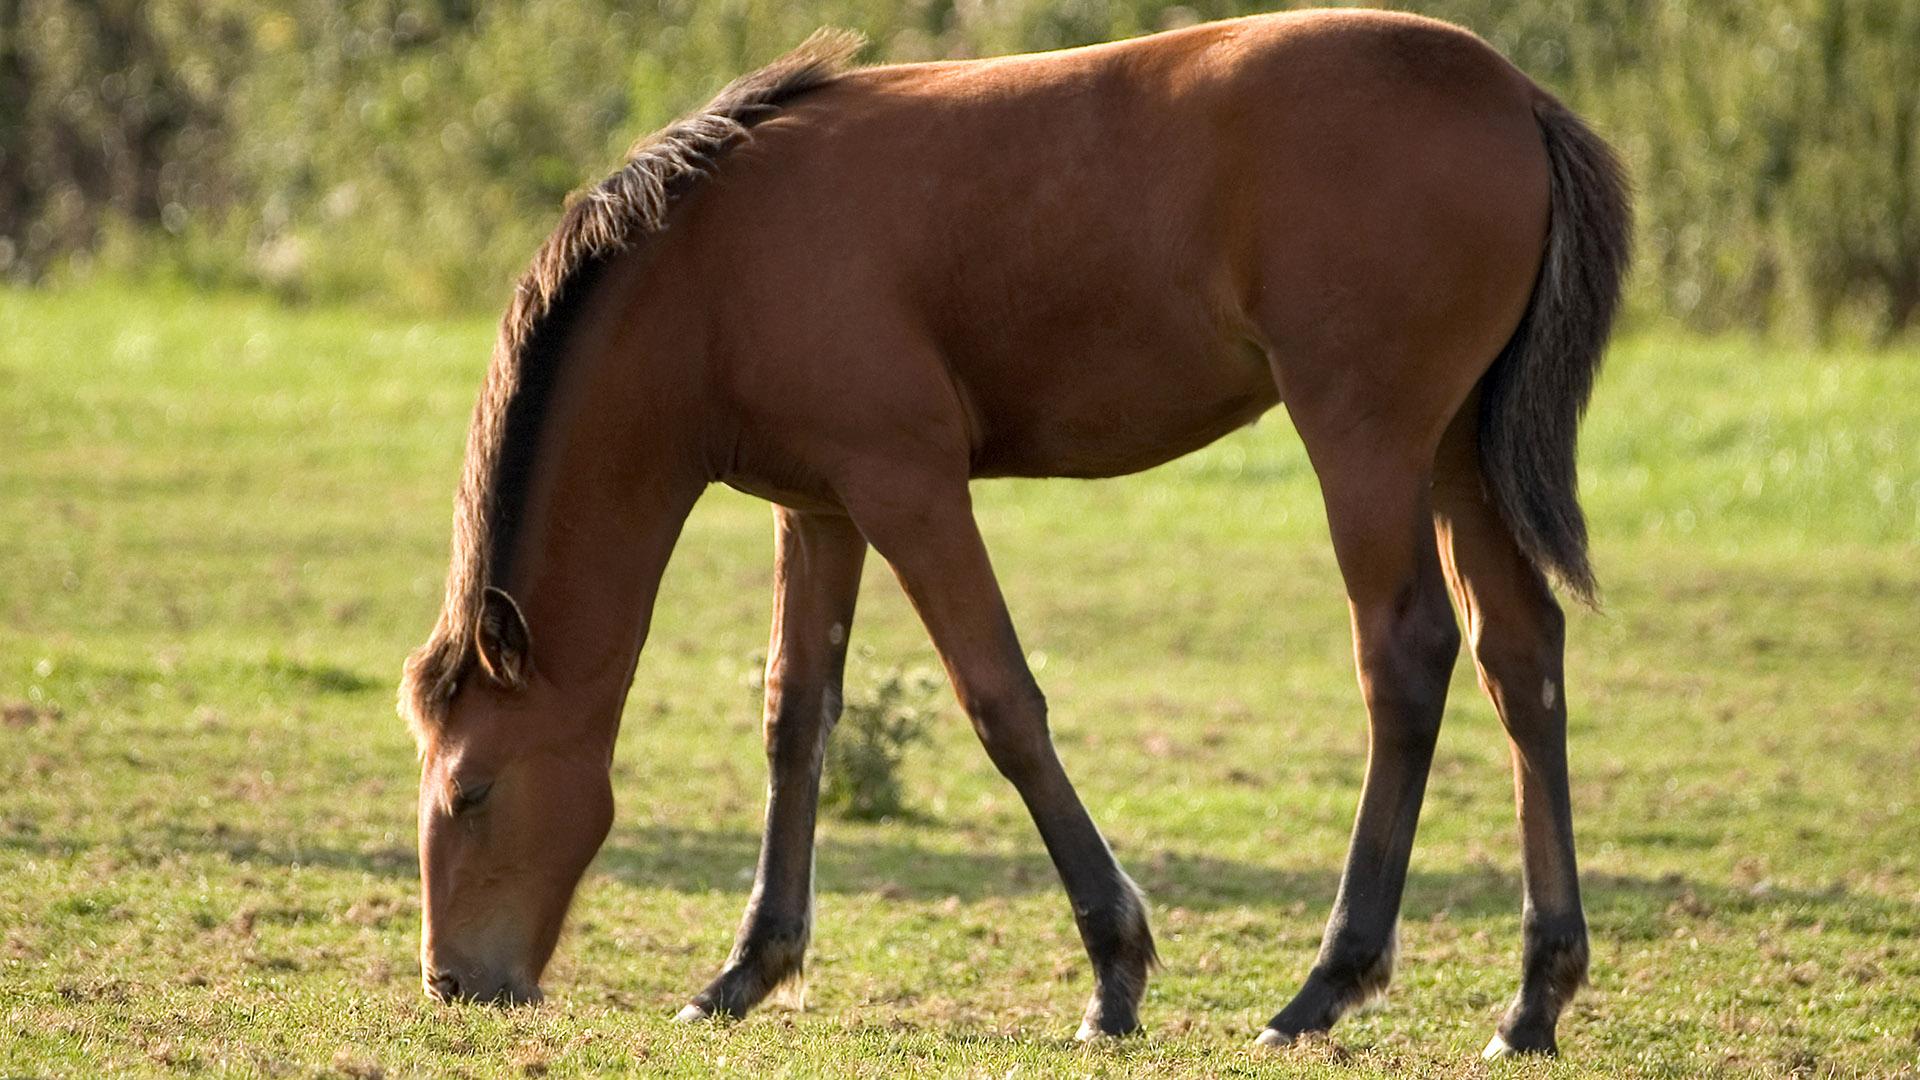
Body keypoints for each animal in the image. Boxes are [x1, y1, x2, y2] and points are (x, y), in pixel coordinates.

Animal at [397, 6, 1628, 1053]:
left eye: (470, 792)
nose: (455, 983)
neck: (713, 266)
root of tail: (1516, 95)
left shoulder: (911, 489)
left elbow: (1002, 706)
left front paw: (1116, 974)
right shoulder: (822, 508)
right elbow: (797, 719)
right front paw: (747, 970)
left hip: (1366, 443)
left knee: (1406, 658)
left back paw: (1327, 983)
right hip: (1458, 455)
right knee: (1520, 657)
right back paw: (1535, 997)